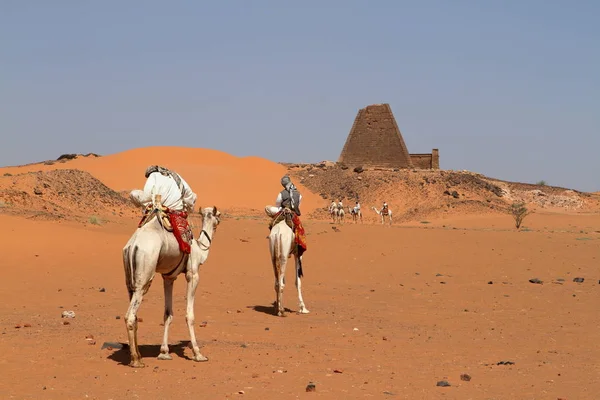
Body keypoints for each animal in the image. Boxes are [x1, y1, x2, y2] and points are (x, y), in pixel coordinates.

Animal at [120, 197, 221, 368]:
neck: (200, 250)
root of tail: (133, 246)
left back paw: (138, 355)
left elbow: (168, 314)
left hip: (130, 280)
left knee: (134, 312)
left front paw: (164, 352)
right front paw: (198, 353)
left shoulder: (168, 278)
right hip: (144, 277)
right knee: (130, 316)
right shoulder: (193, 274)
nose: (221, 218)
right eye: (218, 214)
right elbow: (189, 315)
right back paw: (136, 360)